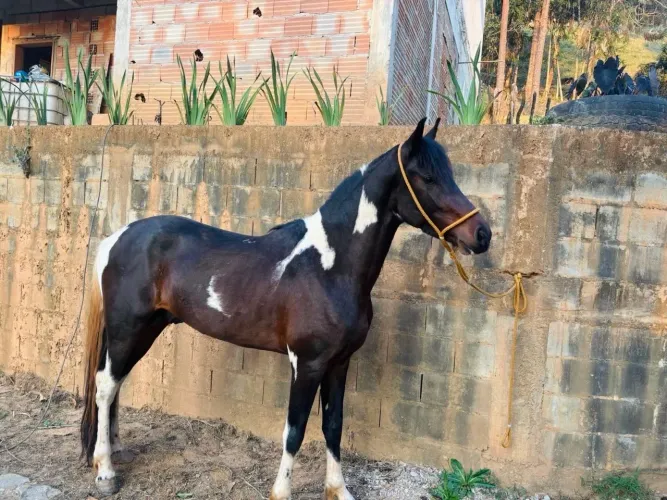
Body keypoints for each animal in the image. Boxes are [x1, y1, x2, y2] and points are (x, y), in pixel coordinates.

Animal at [79, 118, 492, 499]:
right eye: (428, 177)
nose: (482, 234)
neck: (329, 267)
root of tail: (117, 238)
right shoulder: (306, 364)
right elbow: (294, 430)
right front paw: (281, 491)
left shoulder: (339, 363)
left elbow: (333, 426)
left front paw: (337, 489)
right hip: (128, 329)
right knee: (105, 385)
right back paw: (105, 473)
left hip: (145, 329)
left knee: (115, 385)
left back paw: (114, 451)